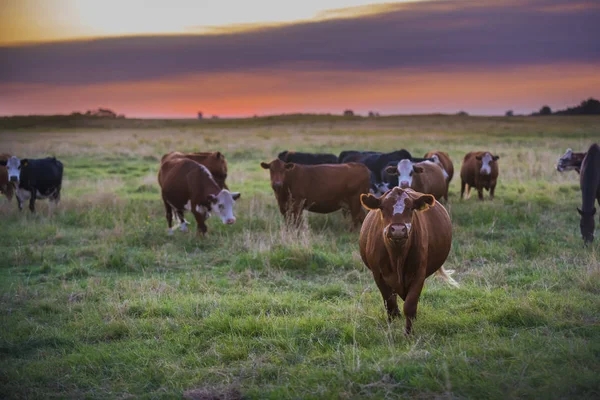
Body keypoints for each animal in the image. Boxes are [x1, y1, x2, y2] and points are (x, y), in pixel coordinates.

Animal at [358, 188, 458, 334]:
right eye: (383, 207)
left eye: (411, 208)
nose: (398, 230)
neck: (397, 256)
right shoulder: (378, 275)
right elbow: (390, 304)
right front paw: (392, 325)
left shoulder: (419, 274)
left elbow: (410, 305)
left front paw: (408, 333)